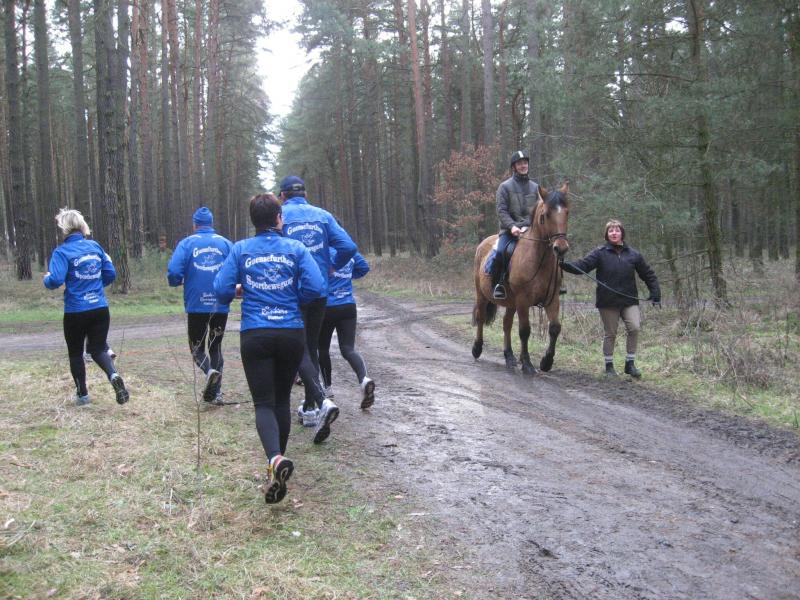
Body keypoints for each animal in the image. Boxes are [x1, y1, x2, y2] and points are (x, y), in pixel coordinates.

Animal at [471, 183, 570, 374]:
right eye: (546, 215)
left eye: (567, 212)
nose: (560, 248)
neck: (539, 259)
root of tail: (483, 244)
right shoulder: (523, 300)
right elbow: (525, 330)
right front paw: (527, 364)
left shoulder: (552, 299)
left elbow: (555, 328)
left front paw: (546, 362)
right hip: (482, 294)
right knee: (481, 317)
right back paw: (477, 348)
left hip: (511, 302)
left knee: (506, 323)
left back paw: (509, 357)